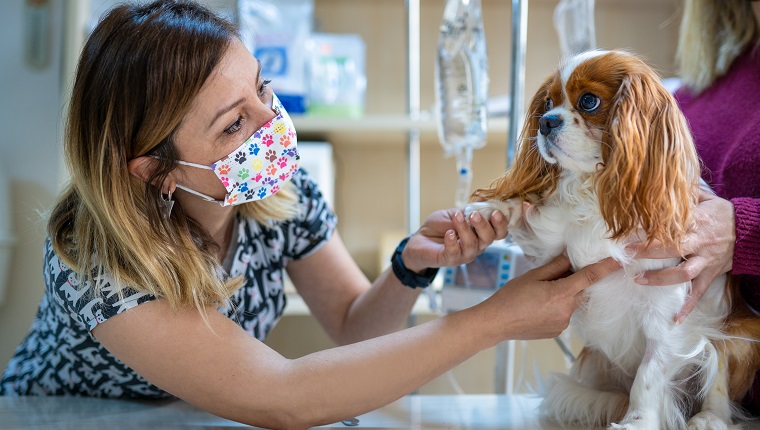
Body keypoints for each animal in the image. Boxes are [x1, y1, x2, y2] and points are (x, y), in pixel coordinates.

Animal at [466, 51, 760, 430]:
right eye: (547, 103)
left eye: (588, 101)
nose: (545, 122)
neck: (596, 189)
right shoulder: (552, 247)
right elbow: (530, 217)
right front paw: (491, 211)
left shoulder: (665, 307)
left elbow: (649, 372)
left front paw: (638, 421)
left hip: (742, 330)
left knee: (718, 372)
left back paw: (709, 418)